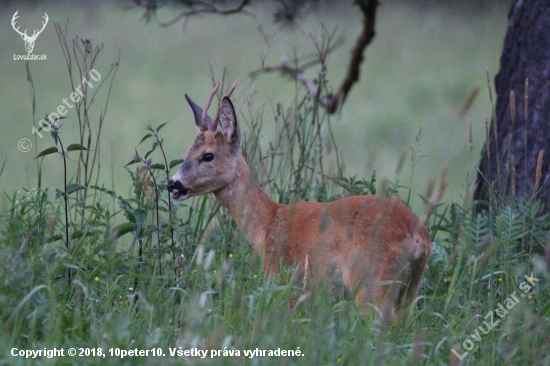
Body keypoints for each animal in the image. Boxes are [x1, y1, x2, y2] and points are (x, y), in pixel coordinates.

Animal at [166, 83, 434, 320]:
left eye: (207, 155)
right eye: (188, 152)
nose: (173, 184)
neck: (268, 222)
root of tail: (417, 236)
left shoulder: (284, 277)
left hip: (372, 279)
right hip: (411, 287)